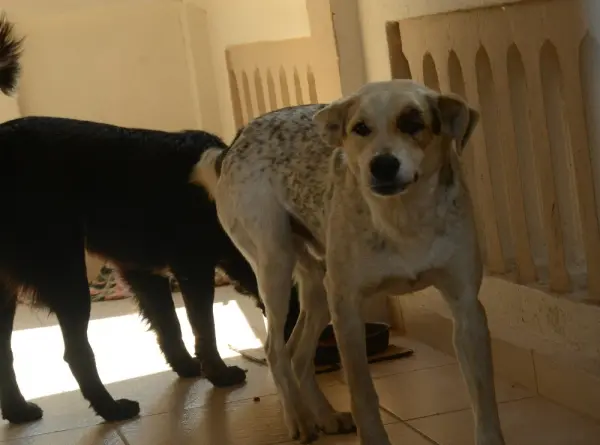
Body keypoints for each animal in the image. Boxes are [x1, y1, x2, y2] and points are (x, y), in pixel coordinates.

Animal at [0, 17, 300, 424]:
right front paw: (218, 374)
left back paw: (18, 411)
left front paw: (188, 368)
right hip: (65, 273)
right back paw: (112, 409)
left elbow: (169, 326)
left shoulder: (142, 272)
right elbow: (202, 327)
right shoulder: (192, 269)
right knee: (76, 352)